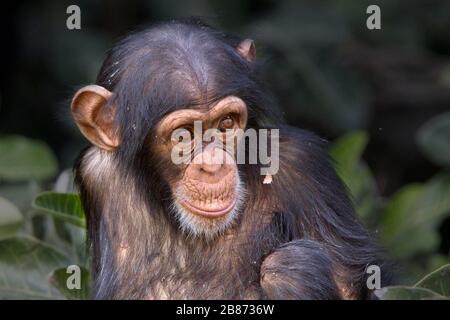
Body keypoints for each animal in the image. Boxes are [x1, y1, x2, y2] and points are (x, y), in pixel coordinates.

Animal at [72, 18, 388, 300]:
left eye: (226, 123)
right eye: (183, 135)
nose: (212, 165)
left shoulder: (304, 164)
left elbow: (351, 285)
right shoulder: (97, 171)